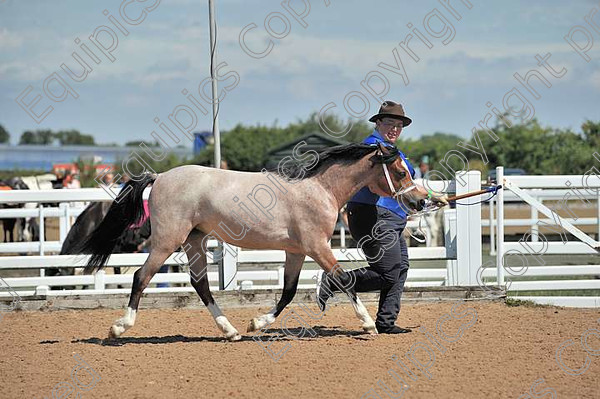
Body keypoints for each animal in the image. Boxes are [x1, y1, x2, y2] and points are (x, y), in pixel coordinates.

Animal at [81, 142, 436, 342]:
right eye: (401, 171)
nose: (421, 201)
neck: (319, 189)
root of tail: (159, 176)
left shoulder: (296, 251)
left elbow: (289, 292)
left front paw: (256, 323)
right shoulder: (317, 246)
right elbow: (343, 279)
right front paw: (367, 325)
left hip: (194, 241)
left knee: (200, 284)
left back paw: (231, 331)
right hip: (168, 240)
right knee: (141, 277)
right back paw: (119, 328)